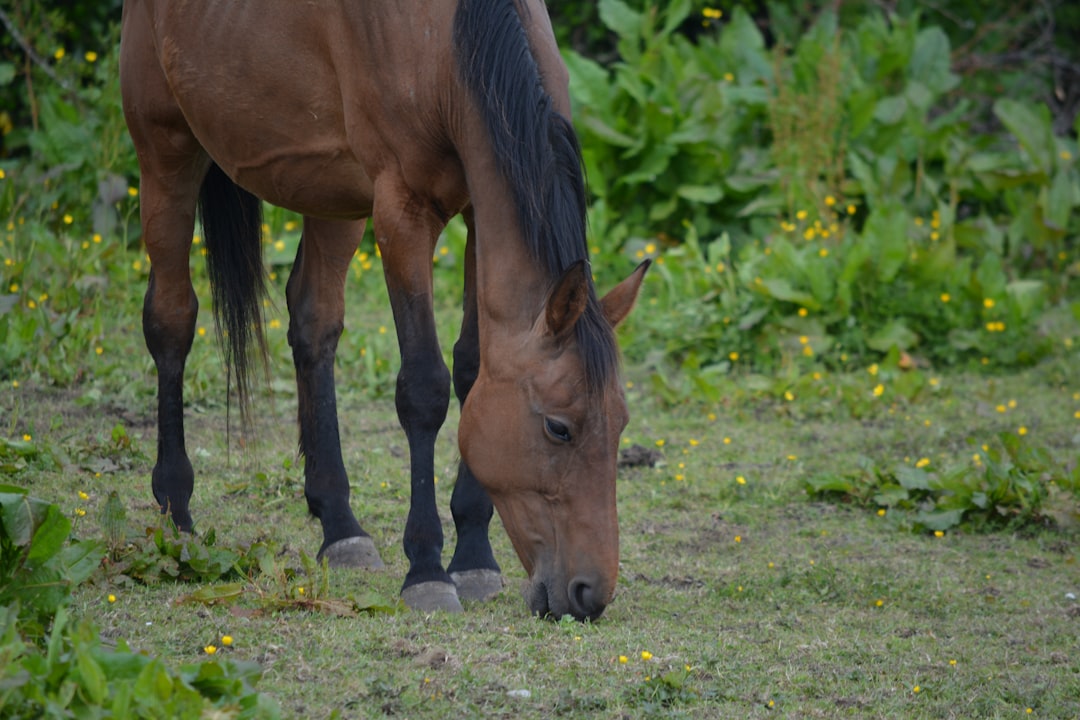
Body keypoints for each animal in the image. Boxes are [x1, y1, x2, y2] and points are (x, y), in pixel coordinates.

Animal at [120, 0, 639, 621]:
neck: (450, 43)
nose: (590, 594)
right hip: (166, 148)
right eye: (559, 428)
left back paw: (340, 526)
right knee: (171, 320)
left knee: (314, 323)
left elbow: (472, 369)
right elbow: (424, 389)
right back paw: (176, 513)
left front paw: (474, 556)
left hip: (331, 193)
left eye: (620, 424)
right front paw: (427, 569)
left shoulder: (476, 209)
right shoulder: (402, 214)